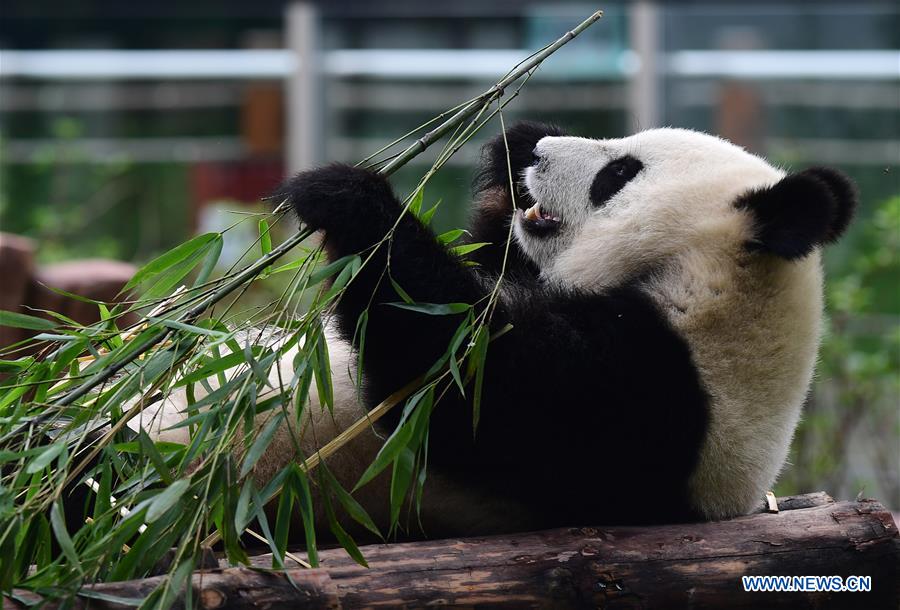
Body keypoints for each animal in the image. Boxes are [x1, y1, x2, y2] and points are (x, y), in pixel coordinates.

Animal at [140, 122, 857, 538]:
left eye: (618, 173)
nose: (537, 154)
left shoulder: (651, 395)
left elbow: (456, 378)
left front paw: (348, 198)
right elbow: (490, 260)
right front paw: (512, 140)